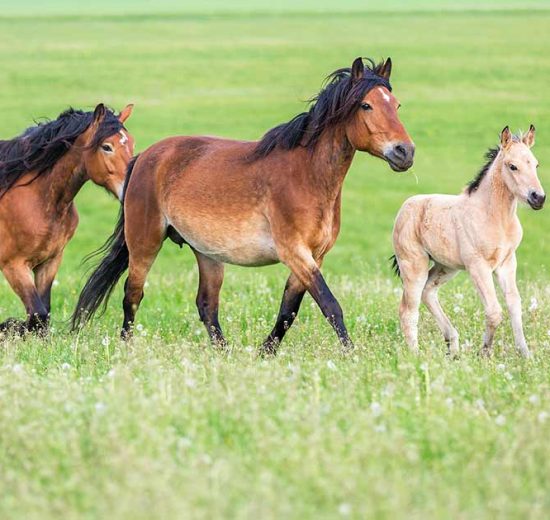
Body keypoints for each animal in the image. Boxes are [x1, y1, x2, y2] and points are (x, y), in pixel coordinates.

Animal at [0, 103, 135, 336]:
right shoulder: (13, 266)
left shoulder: (49, 262)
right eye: (107, 147)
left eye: (132, 144)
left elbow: (43, 314)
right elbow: (37, 313)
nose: (132, 185)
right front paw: (10, 327)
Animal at [71, 59, 414, 356]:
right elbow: (330, 305)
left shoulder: (314, 256)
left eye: (396, 105)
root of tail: (143, 157)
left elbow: (289, 310)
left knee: (206, 305)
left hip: (207, 253)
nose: (404, 152)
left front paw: (265, 353)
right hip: (145, 242)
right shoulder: (295, 253)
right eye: (366, 105)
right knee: (133, 294)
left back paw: (224, 353)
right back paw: (126, 348)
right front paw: (350, 354)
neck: (306, 175)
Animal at [394, 125, 544, 358]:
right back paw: (416, 356)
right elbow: (494, 311)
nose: (538, 198)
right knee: (408, 310)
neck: (495, 218)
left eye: (535, 164)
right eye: (513, 166)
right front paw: (484, 353)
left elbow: (514, 305)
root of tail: (406, 206)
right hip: (413, 265)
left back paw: (453, 346)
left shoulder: (507, 263)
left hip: (446, 266)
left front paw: (526, 355)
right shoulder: (478, 266)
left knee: (428, 292)